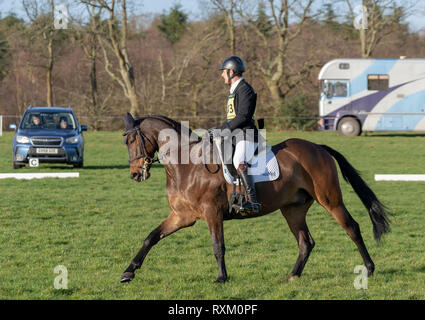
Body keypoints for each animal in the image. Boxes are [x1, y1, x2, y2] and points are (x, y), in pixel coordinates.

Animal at [119, 114, 390, 284]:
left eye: (132, 140)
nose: (135, 174)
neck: (187, 164)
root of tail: (318, 147)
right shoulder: (182, 215)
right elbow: (151, 237)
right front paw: (128, 272)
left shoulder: (211, 212)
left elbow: (218, 246)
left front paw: (221, 278)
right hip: (293, 209)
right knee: (306, 242)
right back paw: (292, 275)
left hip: (330, 199)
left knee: (352, 228)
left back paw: (369, 269)